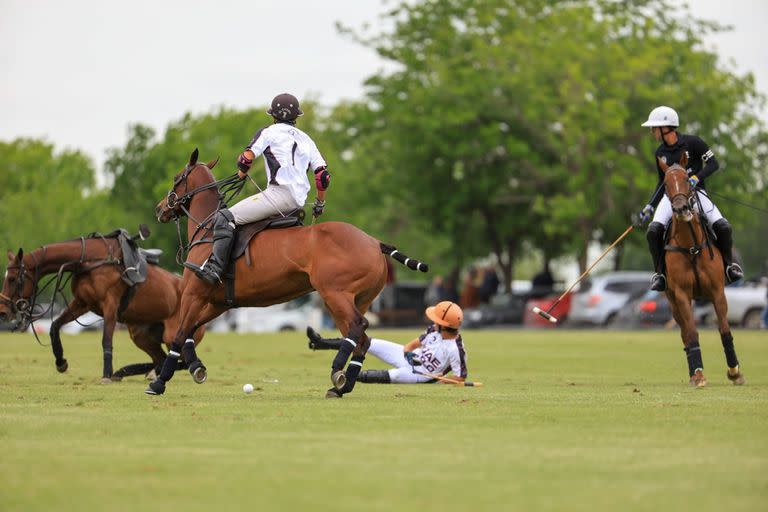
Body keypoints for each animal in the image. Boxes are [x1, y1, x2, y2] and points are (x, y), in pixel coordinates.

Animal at [0, 232, 204, 380]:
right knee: (162, 359)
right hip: (141, 336)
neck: (88, 260)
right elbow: (55, 326)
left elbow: (106, 339)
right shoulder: (81, 303)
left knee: (181, 361)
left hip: (173, 335)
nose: (3, 312)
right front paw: (61, 362)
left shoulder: (110, 306)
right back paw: (132, 372)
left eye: (12, 279)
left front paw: (107, 373)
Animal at [147, 150, 428, 398]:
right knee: (362, 339)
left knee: (359, 326)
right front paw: (196, 368)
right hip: (355, 299)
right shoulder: (219, 302)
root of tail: (374, 241)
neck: (208, 229)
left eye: (176, 178)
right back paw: (341, 387)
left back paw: (337, 371)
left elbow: (180, 334)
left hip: (335, 294)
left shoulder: (194, 292)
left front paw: (159, 382)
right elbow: (191, 330)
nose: (160, 209)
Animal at [660, 156, 744, 388]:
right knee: (684, 333)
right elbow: (692, 333)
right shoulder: (681, 294)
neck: (691, 246)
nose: (681, 209)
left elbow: (725, 330)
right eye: (665, 184)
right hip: (672, 300)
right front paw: (698, 375)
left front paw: (735, 372)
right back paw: (692, 373)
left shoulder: (717, 292)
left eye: (687, 180)